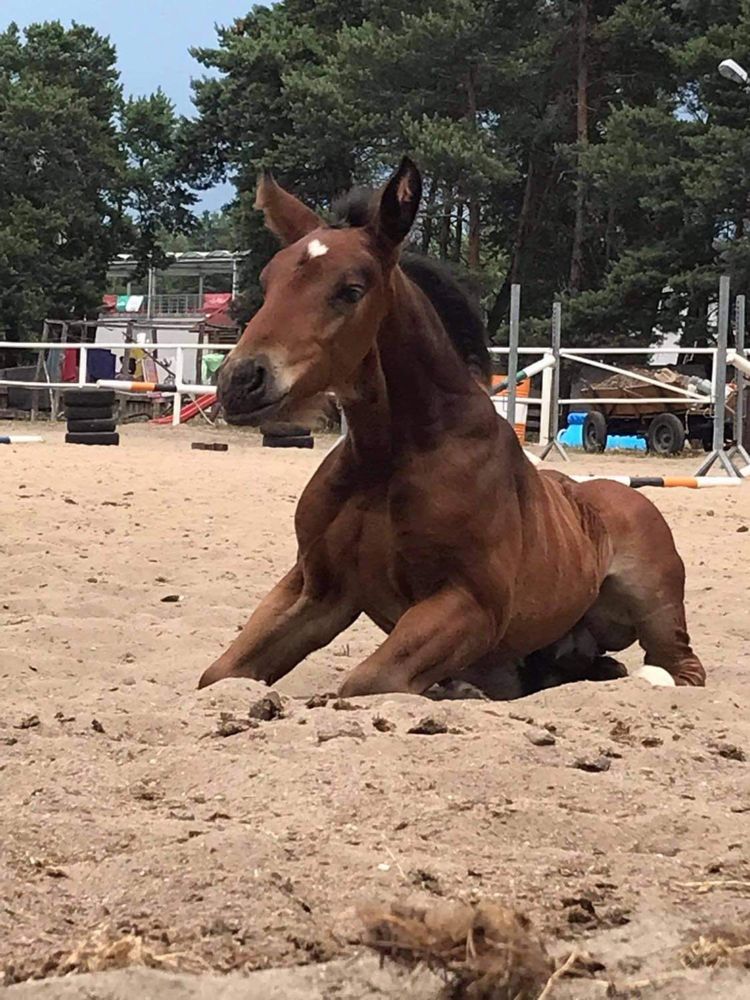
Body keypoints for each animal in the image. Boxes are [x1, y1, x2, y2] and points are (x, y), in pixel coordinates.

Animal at [197, 160, 708, 700]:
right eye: (268, 281)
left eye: (351, 290)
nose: (240, 381)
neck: (386, 458)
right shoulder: (317, 589)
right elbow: (220, 676)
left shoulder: (472, 604)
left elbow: (367, 682)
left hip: (654, 603)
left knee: (678, 667)